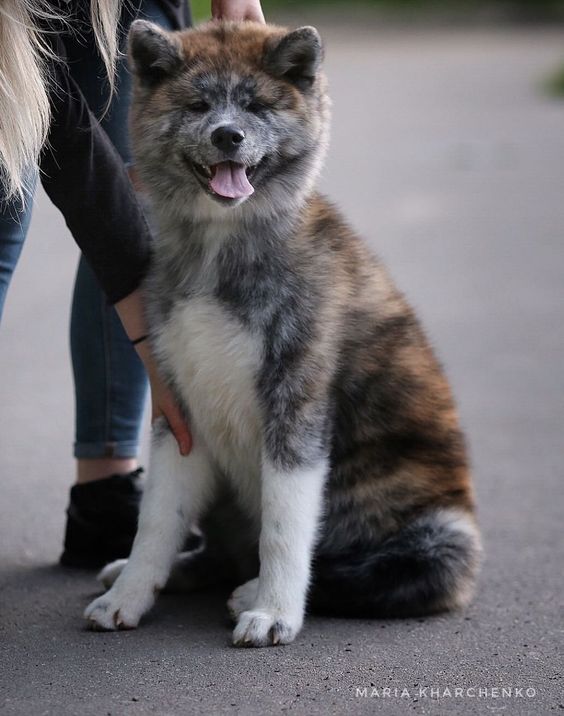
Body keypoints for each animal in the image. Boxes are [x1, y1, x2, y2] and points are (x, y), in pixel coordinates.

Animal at [83, 19, 480, 648]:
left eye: (256, 105)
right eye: (198, 105)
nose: (228, 136)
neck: (222, 247)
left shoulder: (295, 409)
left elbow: (284, 527)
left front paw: (272, 611)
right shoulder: (180, 413)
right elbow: (156, 522)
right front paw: (128, 596)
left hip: (442, 538)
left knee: (369, 571)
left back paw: (251, 590)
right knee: (222, 551)